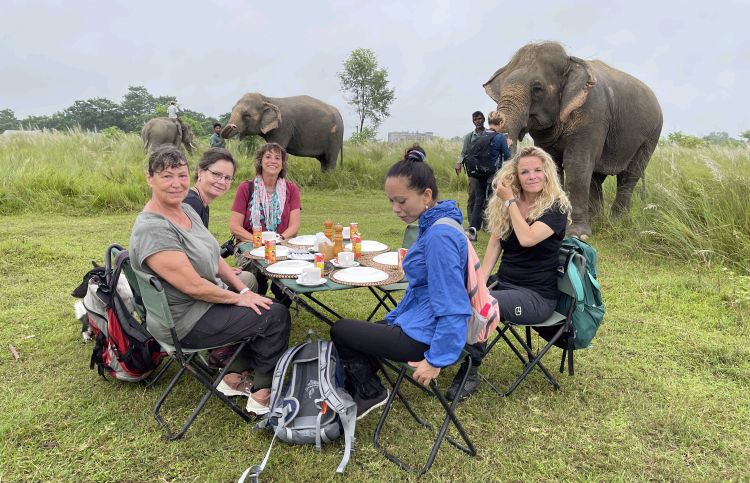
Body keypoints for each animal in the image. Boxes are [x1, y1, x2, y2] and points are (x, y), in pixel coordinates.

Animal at [482, 41, 664, 238]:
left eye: (537, 89)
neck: (571, 62)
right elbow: (552, 163)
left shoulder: (591, 113)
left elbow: (576, 163)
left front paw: (576, 234)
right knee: (596, 176)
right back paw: (597, 221)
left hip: (651, 135)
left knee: (629, 175)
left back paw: (617, 221)